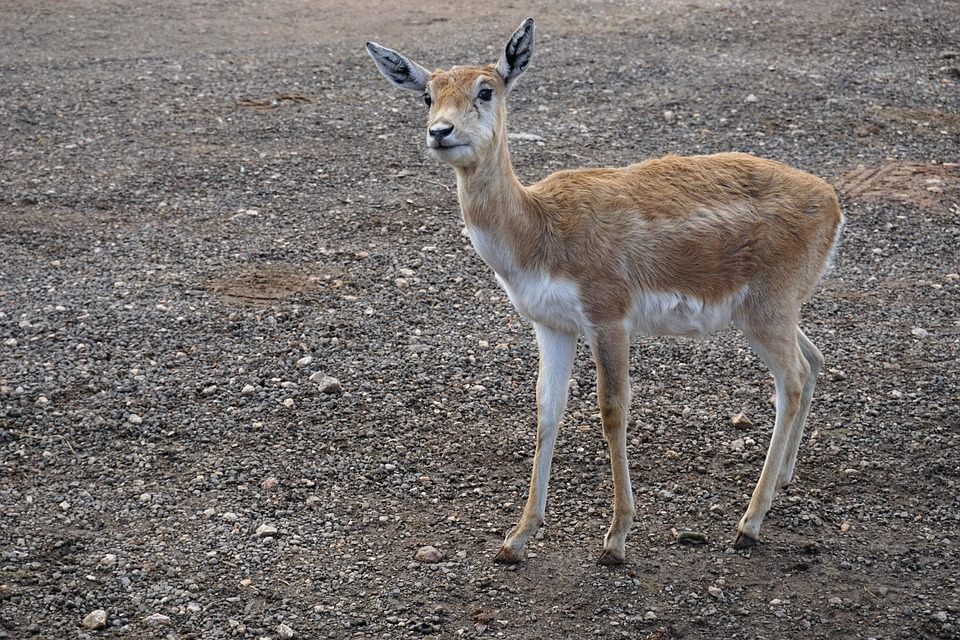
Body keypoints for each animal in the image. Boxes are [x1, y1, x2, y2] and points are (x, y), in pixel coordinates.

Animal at [366, 18, 842, 565]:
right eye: (427, 95)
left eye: (486, 89)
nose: (440, 132)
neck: (538, 235)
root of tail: (835, 204)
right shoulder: (550, 323)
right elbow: (546, 411)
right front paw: (515, 539)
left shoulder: (608, 313)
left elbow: (612, 411)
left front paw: (615, 538)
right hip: (770, 308)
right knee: (815, 358)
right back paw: (782, 481)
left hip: (768, 305)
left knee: (792, 378)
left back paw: (749, 524)